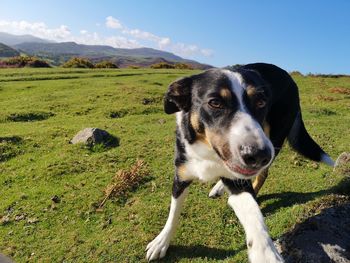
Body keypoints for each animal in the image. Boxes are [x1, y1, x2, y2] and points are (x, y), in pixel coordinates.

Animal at [144, 63, 334, 262]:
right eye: (215, 103)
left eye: (261, 102)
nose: (258, 155)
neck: (209, 151)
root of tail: (289, 77)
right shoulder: (181, 176)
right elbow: (173, 213)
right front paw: (162, 241)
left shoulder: (241, 183)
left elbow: (255, 217)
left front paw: (266, 253)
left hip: (275, 138)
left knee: (263, 173)